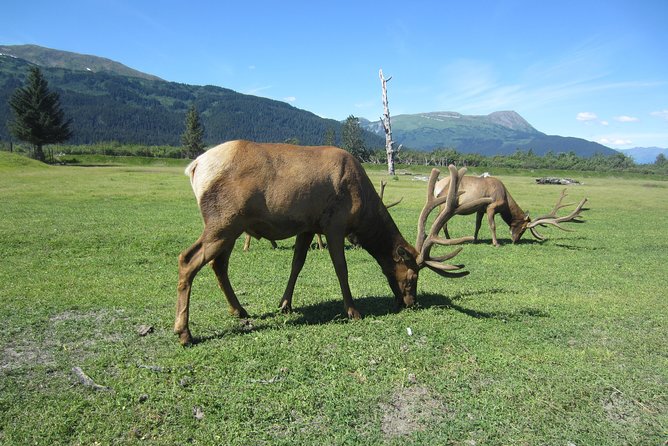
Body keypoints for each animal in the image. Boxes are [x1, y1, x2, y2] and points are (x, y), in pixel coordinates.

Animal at [172, 140, 488, 344]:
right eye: (411, 277)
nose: (410, 303)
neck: (363, 210)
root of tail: (195, 167)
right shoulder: (335, 224)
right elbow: (341, 269)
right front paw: (353, 311)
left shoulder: (308, 225)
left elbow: (297, 264)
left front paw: (285, 304)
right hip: (224, 220)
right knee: (188, 259)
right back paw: (184, 333)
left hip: (232, 226)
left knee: (218, 264)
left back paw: (239, 310)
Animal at [436, 172, 588, 247]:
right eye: (523, 228)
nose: (515, 241)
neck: (506, 202)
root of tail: (437, 187)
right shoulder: (491, 206)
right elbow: (492, 225)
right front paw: (496, 243)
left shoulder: (480, 209)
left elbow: (477, 225)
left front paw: (474, 240)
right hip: (444, 205)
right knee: (441, 222)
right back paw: (447, 239)